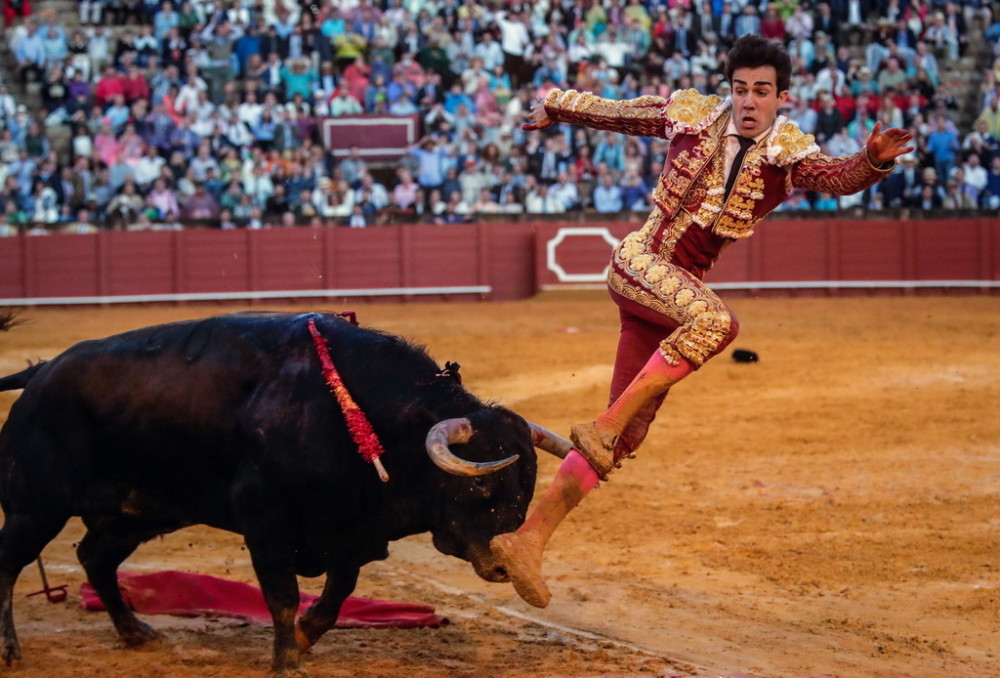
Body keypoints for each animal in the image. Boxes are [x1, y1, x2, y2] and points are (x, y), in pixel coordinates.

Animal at [0, 312, 572, 676]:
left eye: (527, 489)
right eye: (479, 481)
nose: (504, 566)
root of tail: (41, 373)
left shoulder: (348, 532)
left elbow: (336, 596)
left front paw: (302, 639)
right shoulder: (267, 525)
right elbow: (282, 596)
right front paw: (287, 662)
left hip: (134, 513)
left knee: (95, 557)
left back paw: (138, 633)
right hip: (35, 507)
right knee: (11, 566)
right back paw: (10, 647)